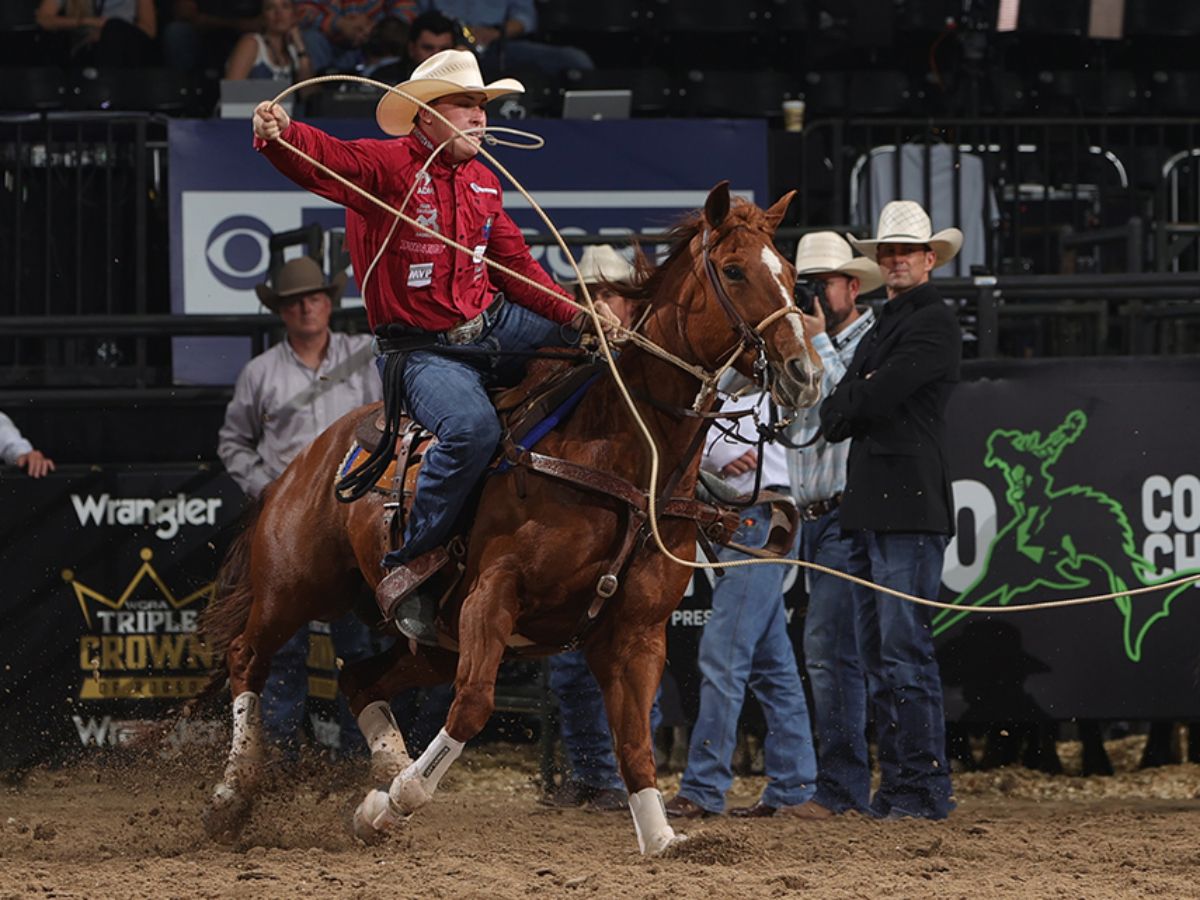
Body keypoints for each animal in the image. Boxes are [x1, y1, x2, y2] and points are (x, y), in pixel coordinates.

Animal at [201, 181, 825, 854]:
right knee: (247, 656)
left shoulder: (636, 632)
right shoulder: (492, 596)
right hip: (296, 587)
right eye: (734, 271)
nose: (805, 373)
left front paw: (661, 839)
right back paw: (232, 796)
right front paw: (396, 803)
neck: (626, 458)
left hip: (430, 641)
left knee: (359, 678)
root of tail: (304, 458)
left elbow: (634, 743)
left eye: (790, 273)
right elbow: (473, 707)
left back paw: (387, 766)